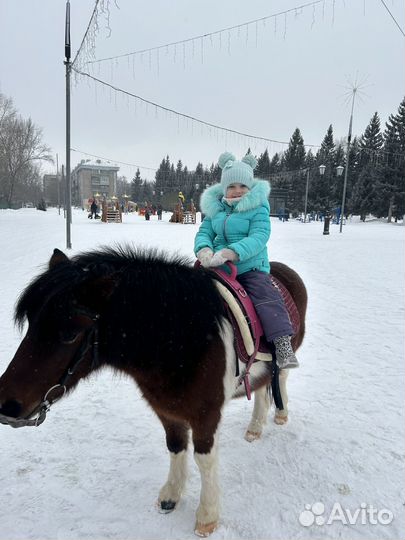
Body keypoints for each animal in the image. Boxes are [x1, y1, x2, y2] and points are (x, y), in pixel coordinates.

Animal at [0, 247, 306, 536]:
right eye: (31, 324)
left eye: (70, 334)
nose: (6, 404)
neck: (183, 341)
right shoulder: (166, 410)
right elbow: (175, 447)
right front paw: (170, 496)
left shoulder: (207, 414)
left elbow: (204, 459)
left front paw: (207, 516)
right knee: (264, 388)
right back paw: (255, 427)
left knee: (281, 378)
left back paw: (279, 414)